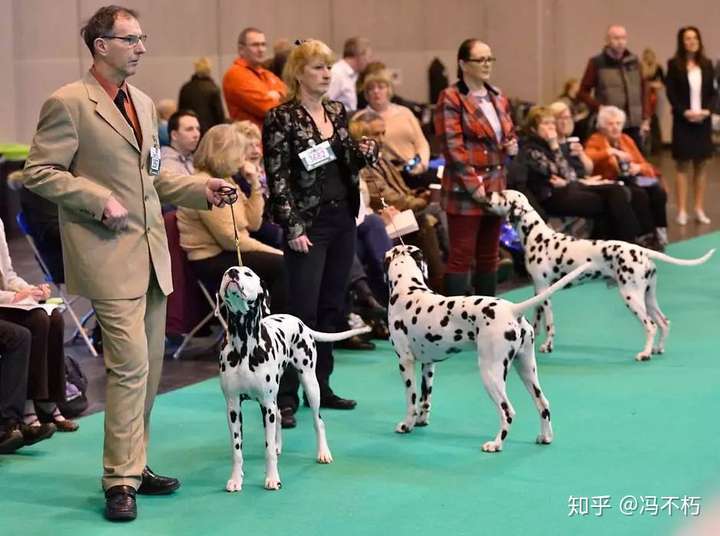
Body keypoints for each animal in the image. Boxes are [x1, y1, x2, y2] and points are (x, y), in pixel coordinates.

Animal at [217, 266, 368, 492]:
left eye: (248, 274)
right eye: (226, 273)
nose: (233, 272)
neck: (244, 346)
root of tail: (300, 322)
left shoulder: (266, 403)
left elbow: (268, 450)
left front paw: (272, 478)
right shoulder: (234, 407)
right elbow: (237, 450)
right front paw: (236, 479)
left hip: (311, 386)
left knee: (318, 422)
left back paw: (323, 452)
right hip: (275, 399)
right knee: (280, 416)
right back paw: (280, 445)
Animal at [382, 246, 592, 452]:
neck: (408, 291)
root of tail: (513, 309)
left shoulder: (405, 362)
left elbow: (411, 399)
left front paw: (406, 425)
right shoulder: (429, 364)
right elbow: (425, 398)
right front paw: (421, 421)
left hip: (490, 373)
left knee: (508, 412)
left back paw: (496, 444)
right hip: (526, 369)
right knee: (543, 404)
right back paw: (545, 437)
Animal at [486, 188, 716, 360]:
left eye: (502, 194)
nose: (487, 192)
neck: (537, 236)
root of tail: (642, 251)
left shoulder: (544, 290)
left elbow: (549, 323)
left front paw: (548, 346)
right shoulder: (538, 290)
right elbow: (536, 318)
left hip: (631, 297)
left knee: (650, 326)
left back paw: (645, 354)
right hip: (648, 298)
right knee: (663, 322)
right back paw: (657, 349)